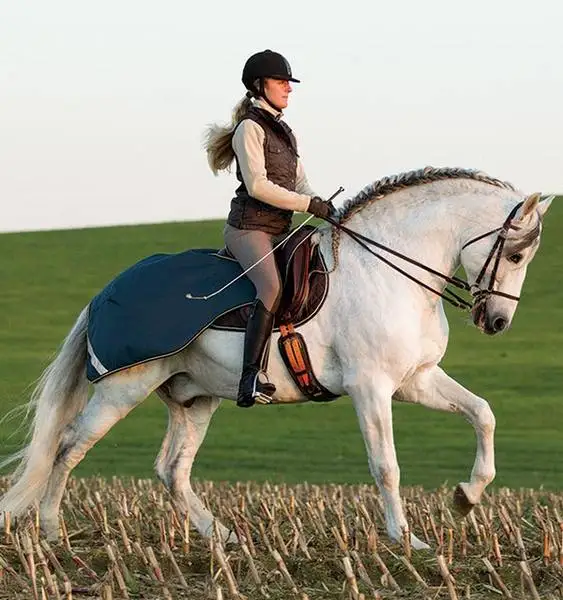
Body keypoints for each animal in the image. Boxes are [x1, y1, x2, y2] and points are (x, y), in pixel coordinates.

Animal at [0, 168, 556, 548]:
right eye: (515, 254)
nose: (497, 322)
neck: (389, 269)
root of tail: (107, 290)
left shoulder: (415, 379)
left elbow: (483, 413)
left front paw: (466, 497)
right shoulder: (372, 387)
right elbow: (387, 466)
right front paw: (407, 540)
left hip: (194, 398)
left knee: (171, 469)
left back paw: (222, 537)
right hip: (123, 388)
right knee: (69, 447)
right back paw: (51, 531)